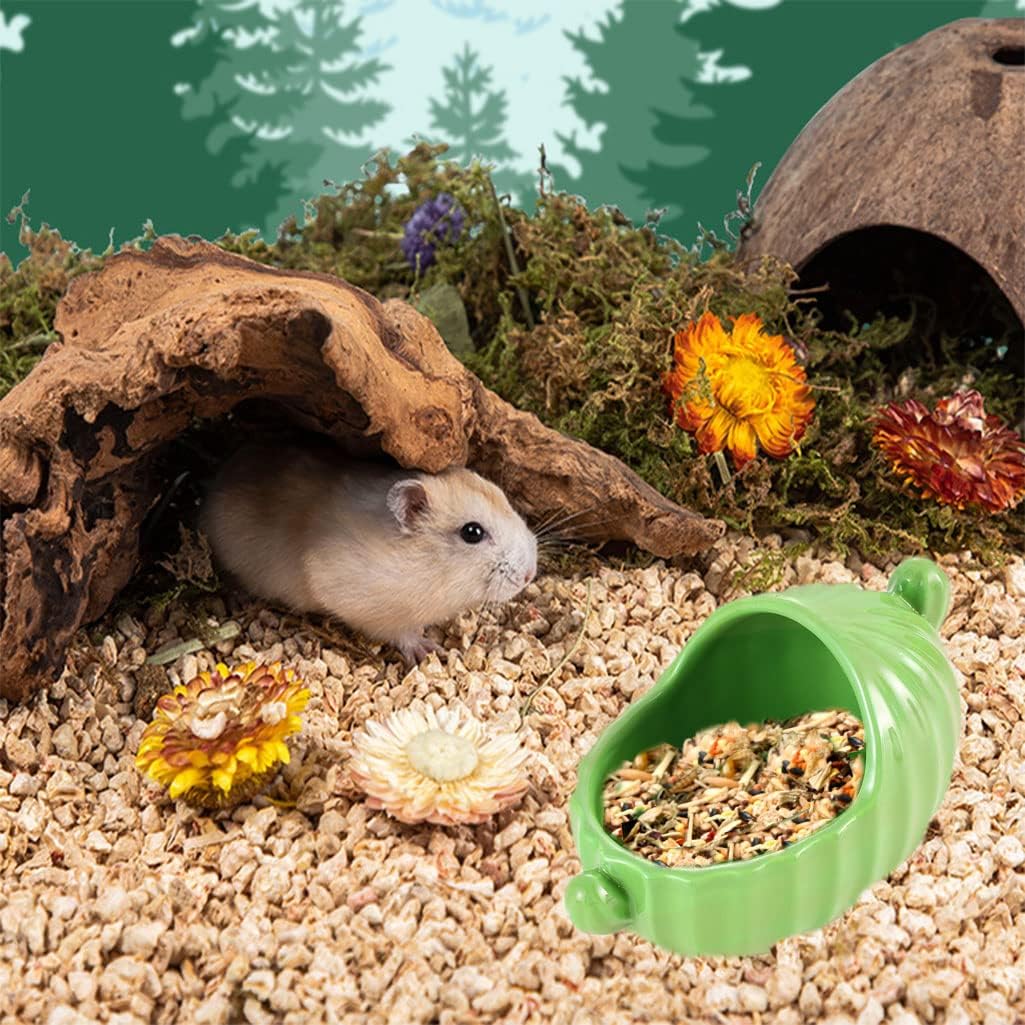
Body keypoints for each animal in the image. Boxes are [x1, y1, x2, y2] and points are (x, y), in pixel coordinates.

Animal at [199, 445, 538, 664]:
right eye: (472, 533)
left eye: (504, 497)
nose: (529, 574)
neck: (431, 567)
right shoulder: (364, 603)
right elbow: (400, 632)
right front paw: (429, 651)